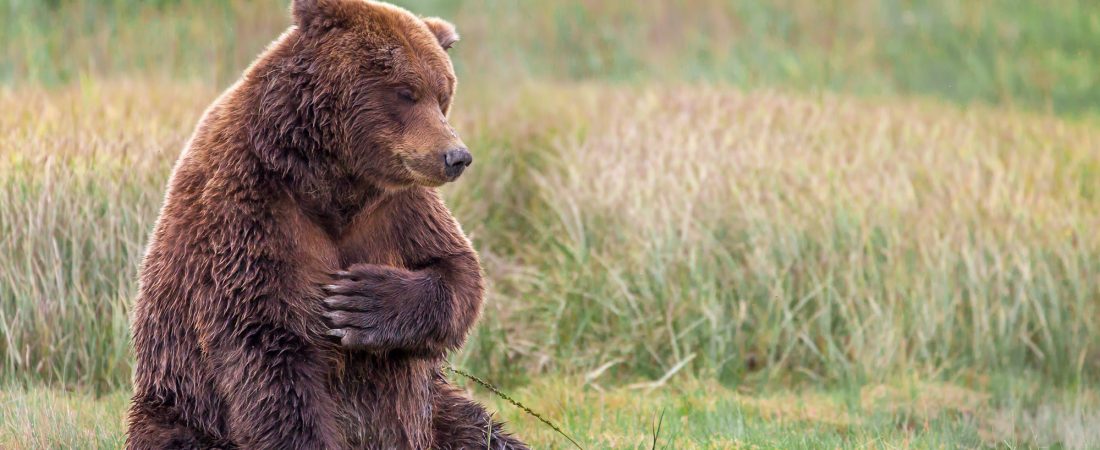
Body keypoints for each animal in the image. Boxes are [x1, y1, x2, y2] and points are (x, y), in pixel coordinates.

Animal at [125, 1, 528, 449]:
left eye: (443, 95)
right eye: (406, 92)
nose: (456, 156)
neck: (331, 183)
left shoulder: (396, 210)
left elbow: (456, 269)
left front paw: (361, 301)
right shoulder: (252, 216)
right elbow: (269, 349)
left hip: (440, 408)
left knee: (481, 431)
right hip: (182, 408)